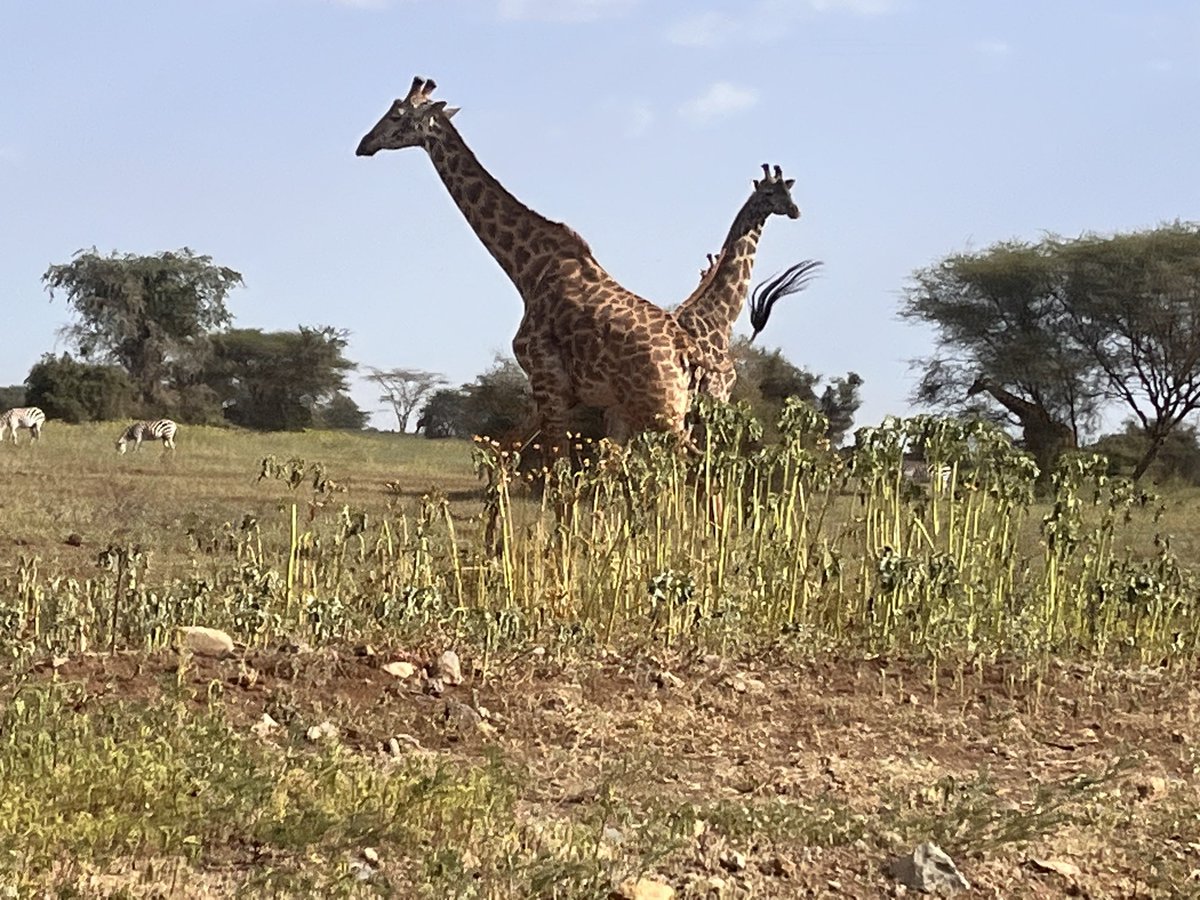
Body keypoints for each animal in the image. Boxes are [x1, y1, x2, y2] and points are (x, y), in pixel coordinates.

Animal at [356, 78, 714, 446]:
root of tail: (687, 352)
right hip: (661, 409)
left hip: (660, 411)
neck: (528, 270)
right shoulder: (586, 400)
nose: (363, 144)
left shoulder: (547, 382)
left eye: (397, 115)